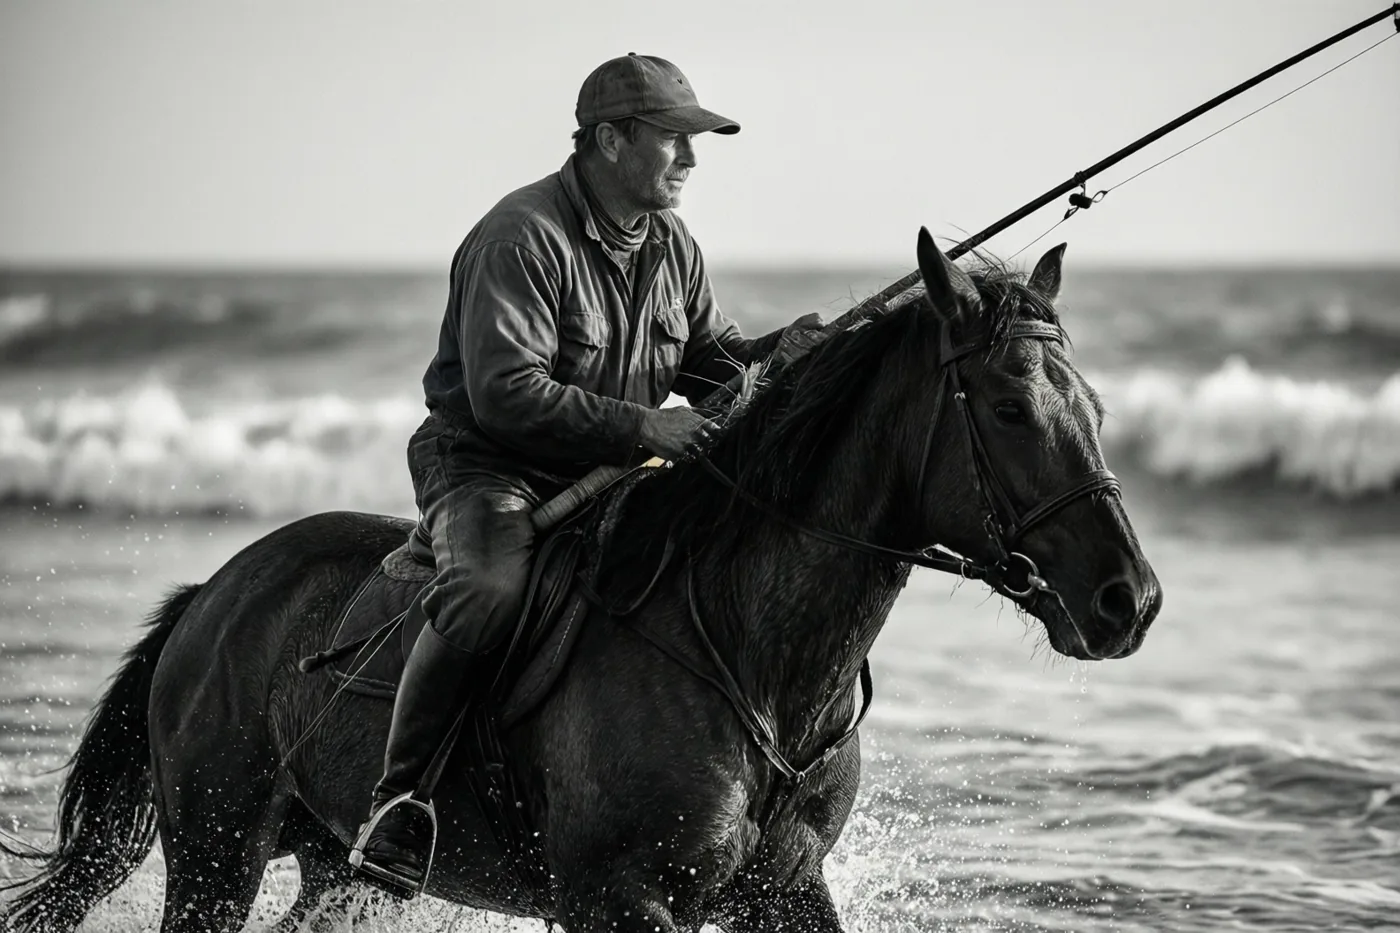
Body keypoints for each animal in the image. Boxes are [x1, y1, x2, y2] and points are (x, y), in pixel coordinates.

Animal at [1, 229, 1161, 932]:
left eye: (1096, 404)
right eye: (1007, 408)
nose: (1130, 600)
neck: (748, 653)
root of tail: (212, 595)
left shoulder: (784, 890)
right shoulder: (619, 900)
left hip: (334, 870)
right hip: (215, 854)